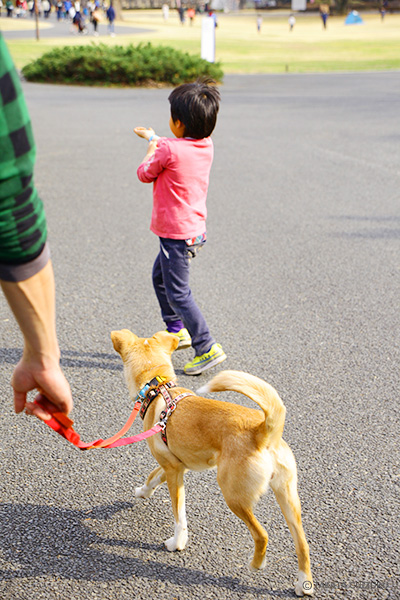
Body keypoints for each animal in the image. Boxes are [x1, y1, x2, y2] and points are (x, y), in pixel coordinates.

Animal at [111, 330, 314, 596]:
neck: (159, 388)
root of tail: (263, 431)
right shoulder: (175, 465)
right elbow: (153, 476)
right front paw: (143, 492)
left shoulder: (174, 471)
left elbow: (179, 516)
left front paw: (177, 543)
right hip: (287, 497)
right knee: (302, 542)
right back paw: (303, 583)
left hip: (233, 495)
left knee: (262, 535)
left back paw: (255, 564)